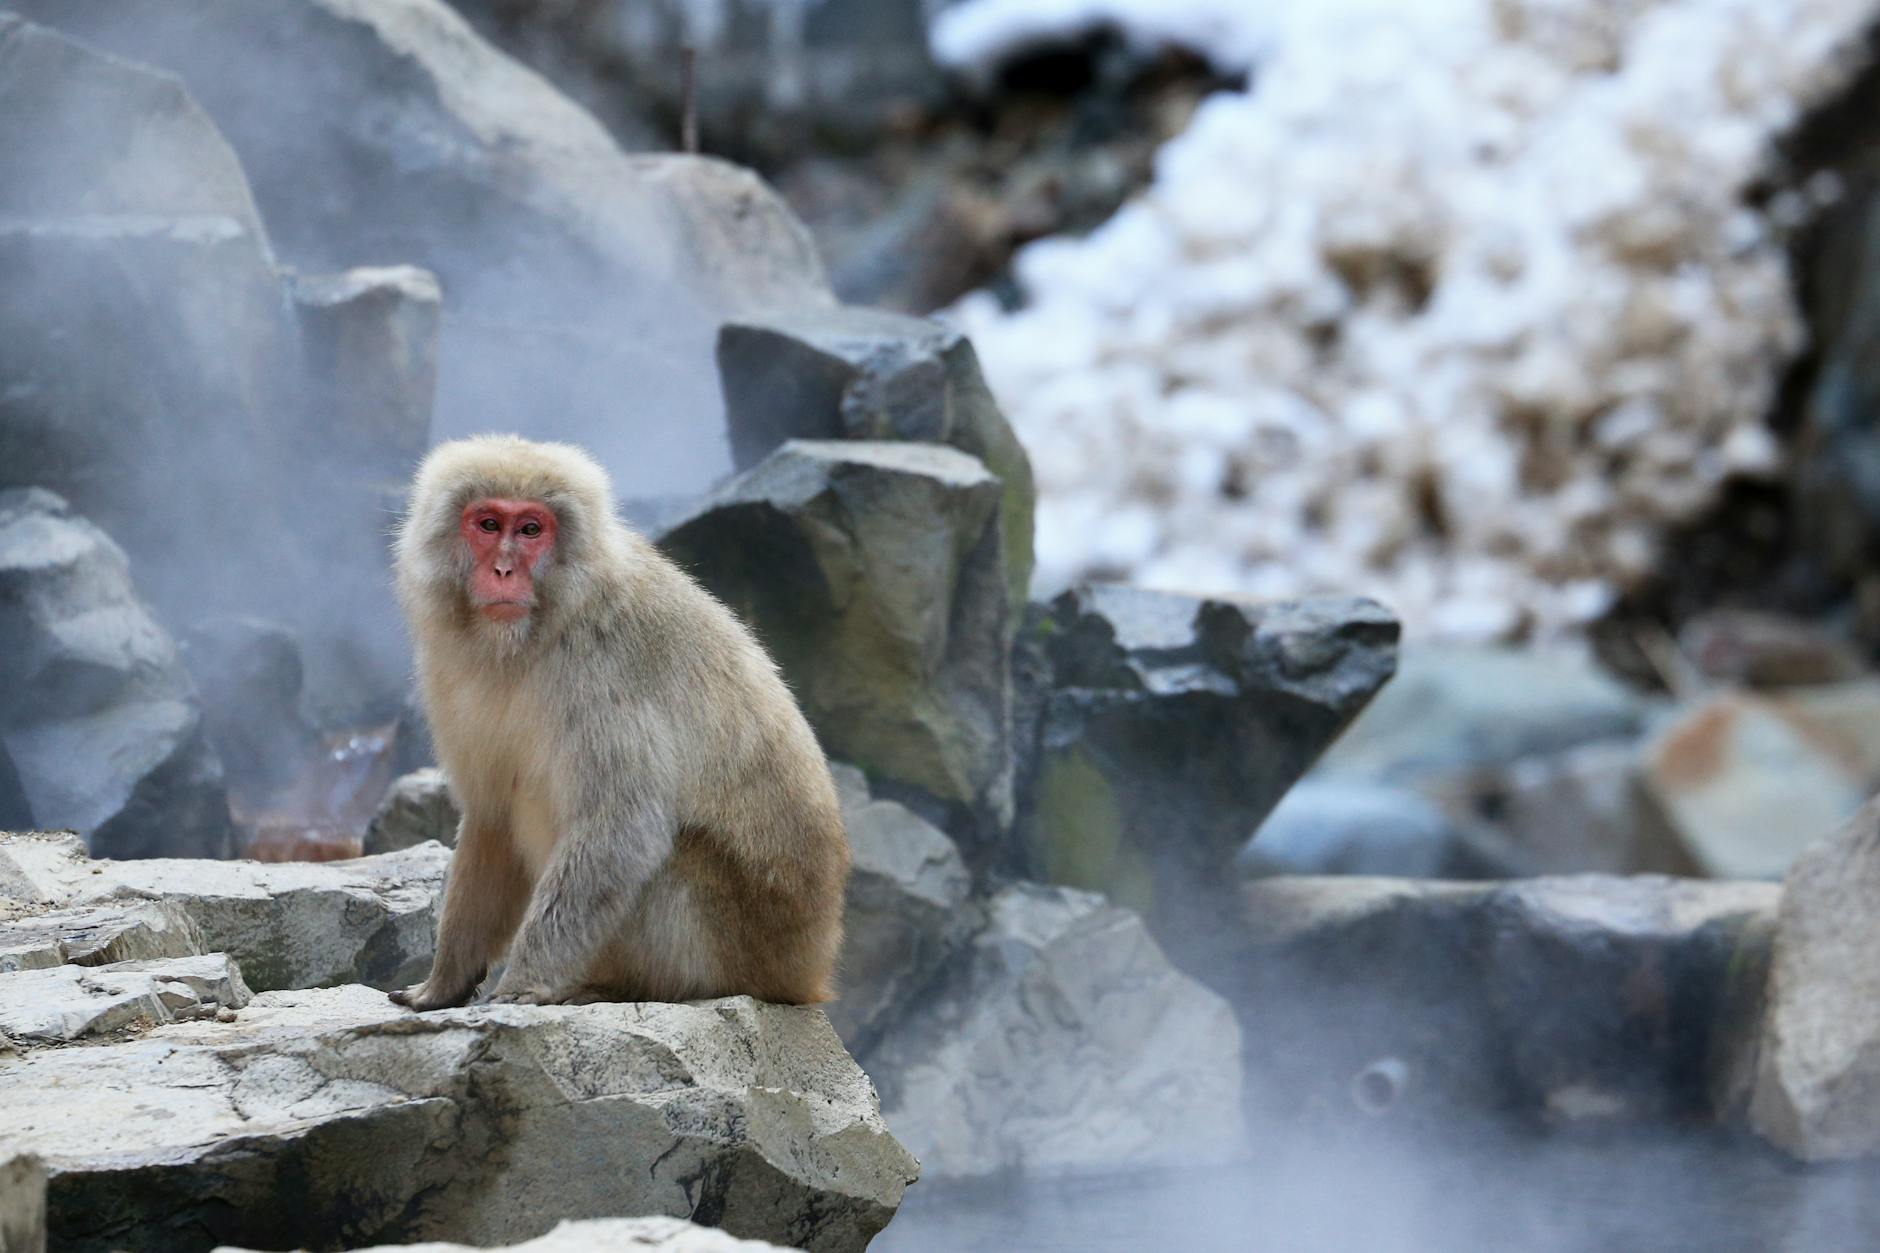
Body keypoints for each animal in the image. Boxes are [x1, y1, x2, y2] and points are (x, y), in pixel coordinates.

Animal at [386, 434, 850, 1010]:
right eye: (489, 524)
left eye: (531, 529)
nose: (504, 571)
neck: (537, 634)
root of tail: (808, 971)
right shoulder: (449, 672)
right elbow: (492, 817)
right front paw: (444, 981)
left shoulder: (600, 667)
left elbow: (621, 825)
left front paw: (522, 983)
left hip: (737, 943)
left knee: (671, 857)